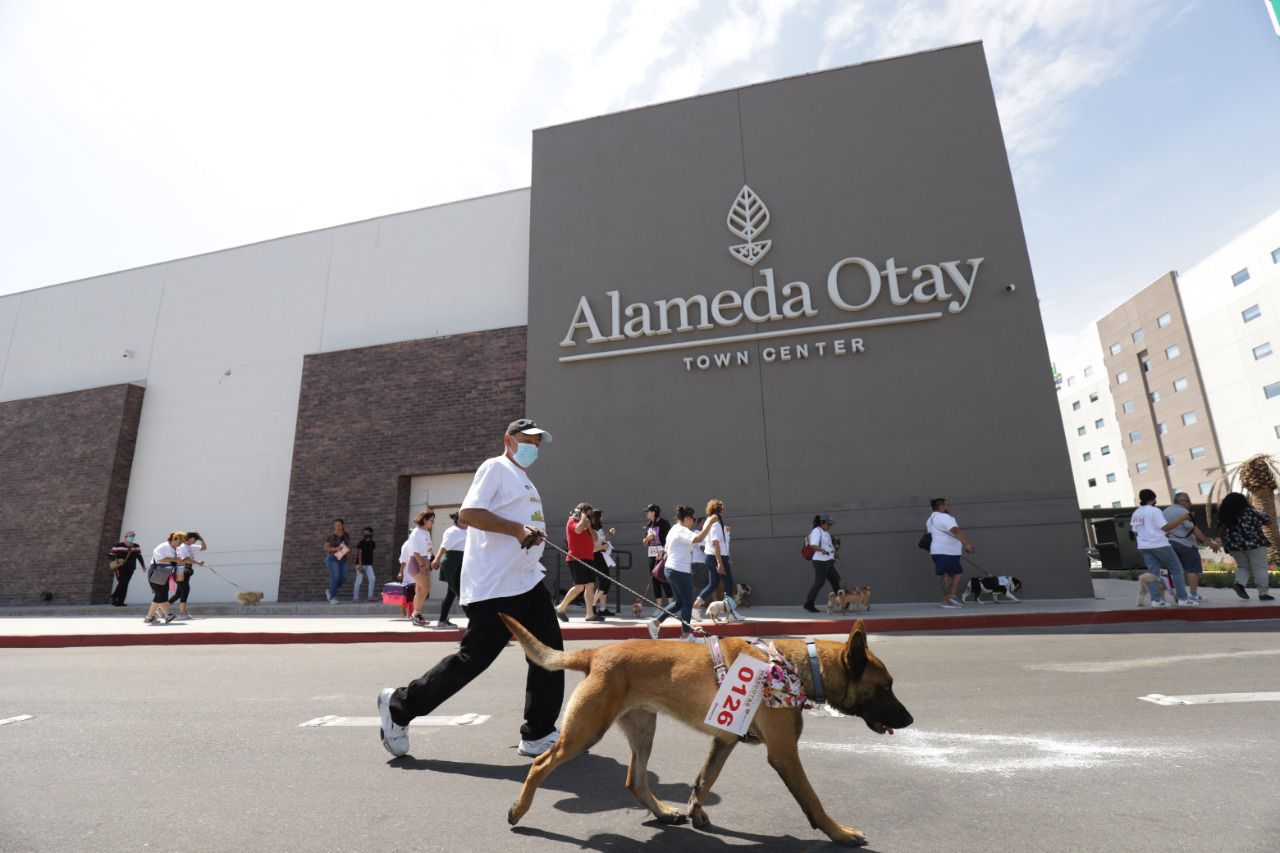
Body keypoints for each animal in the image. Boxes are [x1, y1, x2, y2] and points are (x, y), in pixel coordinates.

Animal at [496, 612, 911, 845]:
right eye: (886, 687)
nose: (909, 720)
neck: (797, 664)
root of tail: (597, 652)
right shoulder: (785, 755)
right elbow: (813, 800)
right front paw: (839, 833)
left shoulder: (724, 739)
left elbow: (704, 781)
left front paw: (696, 813)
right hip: (585, 733)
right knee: (541, 765)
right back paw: (518, 809)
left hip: (644, 730)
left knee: (635, 779)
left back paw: (664, 813)